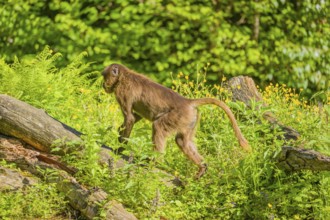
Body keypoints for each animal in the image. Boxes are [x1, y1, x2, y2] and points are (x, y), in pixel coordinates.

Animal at [101, 63, 250, 179]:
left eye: (104, 76)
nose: (103, 84)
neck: (124, 76)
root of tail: (187, 102)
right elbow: (136, 117)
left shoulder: (122, 91)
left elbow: (130, 118)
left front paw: (119, 149)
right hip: (190, 119)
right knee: (182, 141)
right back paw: (202, 167)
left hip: (178, 116)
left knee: (158, 127)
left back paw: (155, 162)